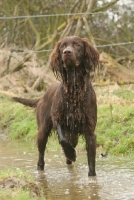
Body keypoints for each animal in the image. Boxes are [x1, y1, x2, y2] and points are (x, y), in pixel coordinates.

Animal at [13, 36, 99, 177]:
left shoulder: (90, 129)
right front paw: (71, 153)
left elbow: (91, 161)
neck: (74, 91)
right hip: (43, 131)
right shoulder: (57, 118)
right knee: (41, 156)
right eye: (63, 46)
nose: (67, 52)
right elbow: (62, 139)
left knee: (69, 156)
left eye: (77, 45)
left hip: (73, 135)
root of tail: (42, 96)